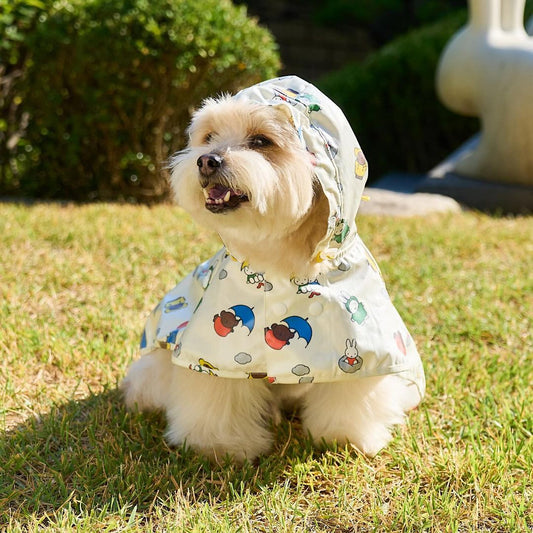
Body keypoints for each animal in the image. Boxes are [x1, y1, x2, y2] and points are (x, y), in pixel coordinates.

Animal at [120, 76, 424, 462]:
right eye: (208, 137)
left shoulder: (363, 346)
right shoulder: (216, 351)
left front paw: (342, 438)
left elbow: (349, 394)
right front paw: (220, 446)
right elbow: (218, 395)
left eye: (261, 141)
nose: (206, 160)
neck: (279, 257)